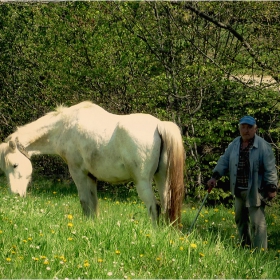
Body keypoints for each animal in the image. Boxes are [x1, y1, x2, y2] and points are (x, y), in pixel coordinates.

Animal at [5, 101, 185, 224]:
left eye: (15, 165)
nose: (16, 194)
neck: (65, 126)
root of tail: (159, 125)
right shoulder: (91, 176)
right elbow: (93, 204)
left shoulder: (78, 173)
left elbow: (85, 202)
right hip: (162, 178)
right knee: (167, 204)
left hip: (143, 182)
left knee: (154, 207)